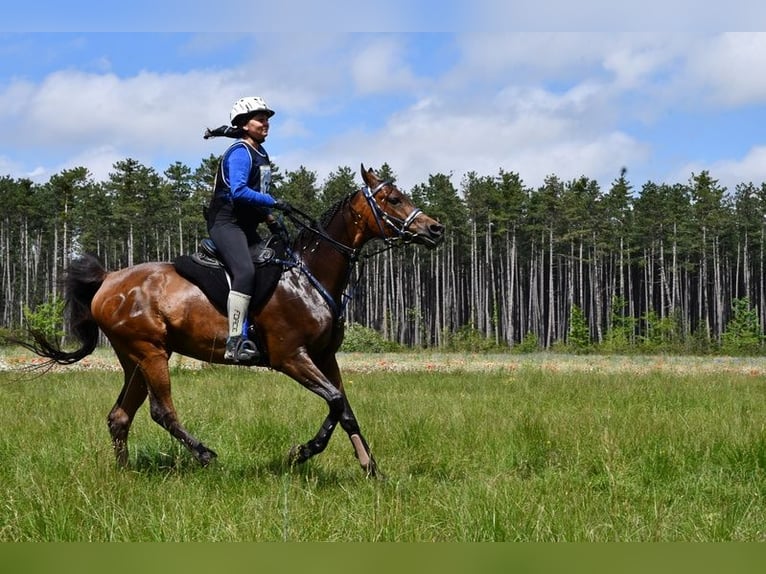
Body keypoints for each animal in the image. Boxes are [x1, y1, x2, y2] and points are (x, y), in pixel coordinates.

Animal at [21, 165, 444, 476]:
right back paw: (204, 454)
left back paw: (125, 474)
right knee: (161, 411)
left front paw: (371, 469)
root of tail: (108, 279)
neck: (309, 274)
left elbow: (344, 409)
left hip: (135, 359)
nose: (435, 228)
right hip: (150, 353)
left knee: (120, 417)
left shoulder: (325, 357)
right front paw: (302, 452)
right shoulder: (291, 357)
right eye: (393, 198)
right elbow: (336, 400)